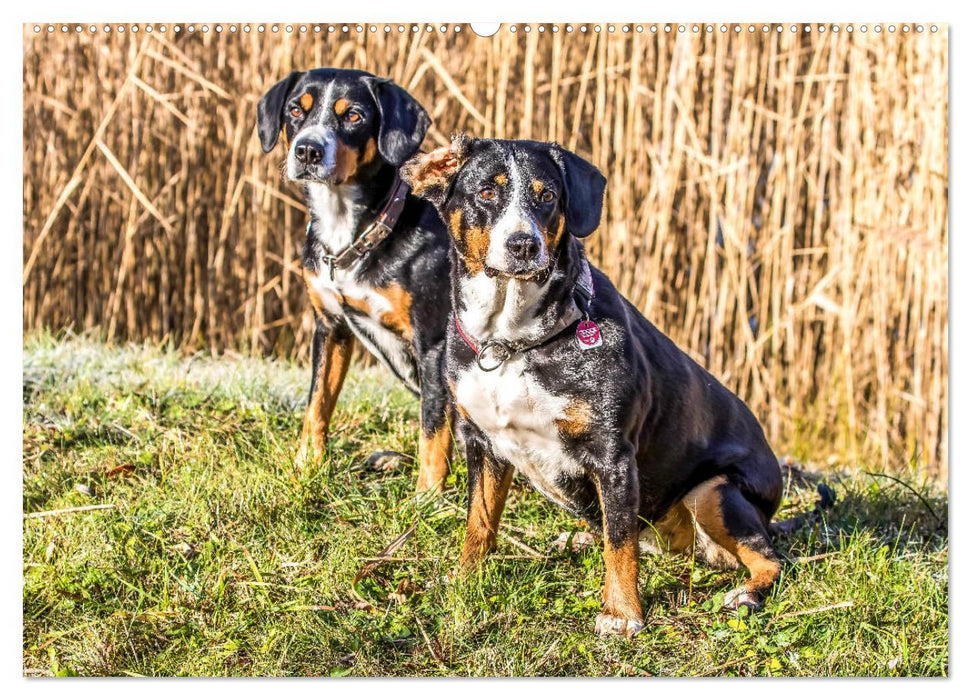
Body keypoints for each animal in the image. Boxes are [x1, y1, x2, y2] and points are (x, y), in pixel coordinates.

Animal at [258, 68, 456, 490]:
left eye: (353, 116)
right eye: (296, 110)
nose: (307, 150)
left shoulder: (434, 345)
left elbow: (433, 431)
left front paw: (428, 495)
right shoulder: (330, 326)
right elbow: (317, 403)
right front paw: (307, 466)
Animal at [402, 137, 788, 640]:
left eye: (547, 196)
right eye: (487, 192)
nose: (523, 244)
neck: (512, 341)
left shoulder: (613, 454)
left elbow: (619, 543)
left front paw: (622, 613)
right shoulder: (481, 441)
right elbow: (479, 520)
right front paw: (466, 578)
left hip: (715, 492)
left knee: (770, 559)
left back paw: (747, 593)